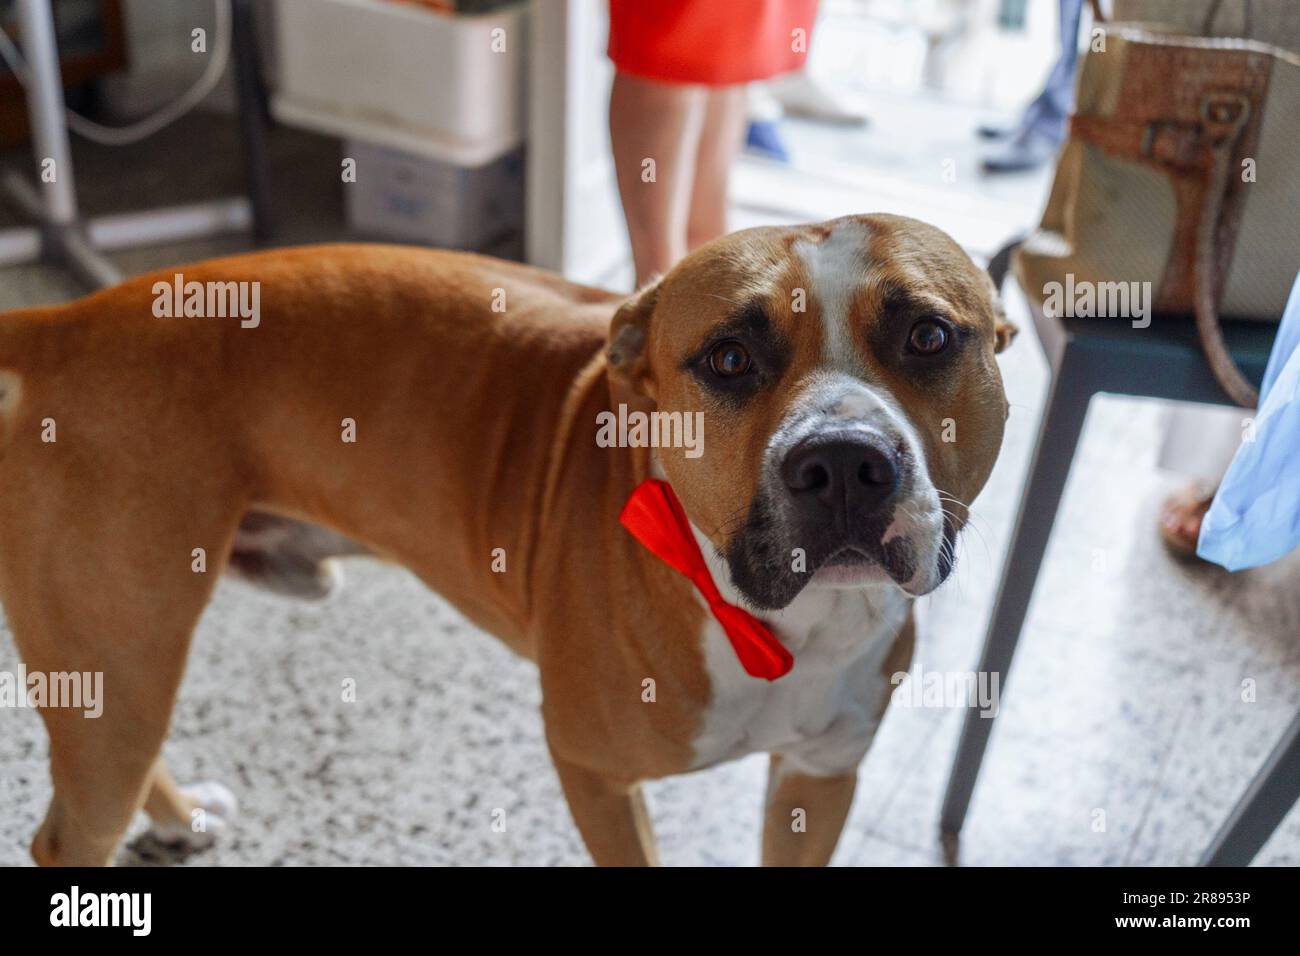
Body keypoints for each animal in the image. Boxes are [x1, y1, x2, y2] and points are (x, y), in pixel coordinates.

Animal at [0, 210, 1013, 868]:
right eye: (729, 358)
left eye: (928, 335)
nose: (842, 461)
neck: (773, 625)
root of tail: (63, 326)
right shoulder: (595, 776)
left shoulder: (818, 780)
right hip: (123, 645)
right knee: (68, 831)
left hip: (123, 665)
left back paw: (178, 817)